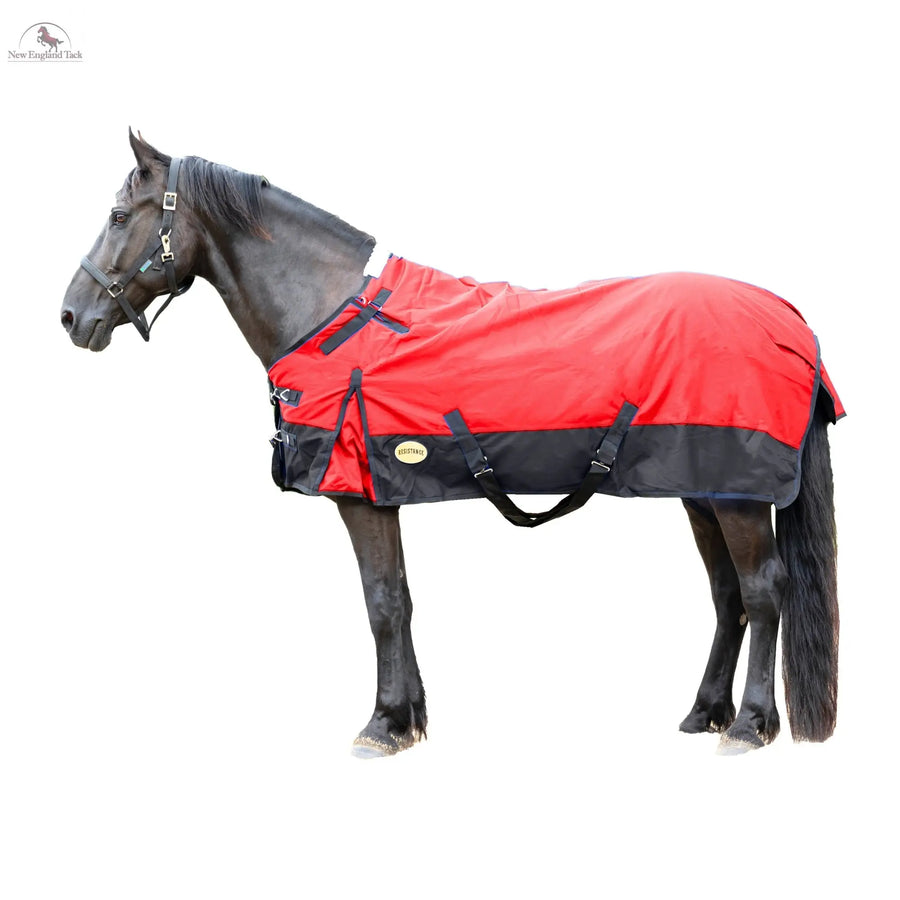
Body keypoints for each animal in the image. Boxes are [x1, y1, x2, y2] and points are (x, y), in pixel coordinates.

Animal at [61, 130, 841, 757]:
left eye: (118, 216)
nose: (71, 315)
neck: (331, 314)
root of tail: (787, 317)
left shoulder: (357, 497)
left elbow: (380, 602)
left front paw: (381, 726)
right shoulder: (381, 493)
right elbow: (402, 599)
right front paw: (409, 719)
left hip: (737, 495)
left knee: (763, 591)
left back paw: (750, 725)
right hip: (702, 490)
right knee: (727, 593)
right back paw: (704, 712)